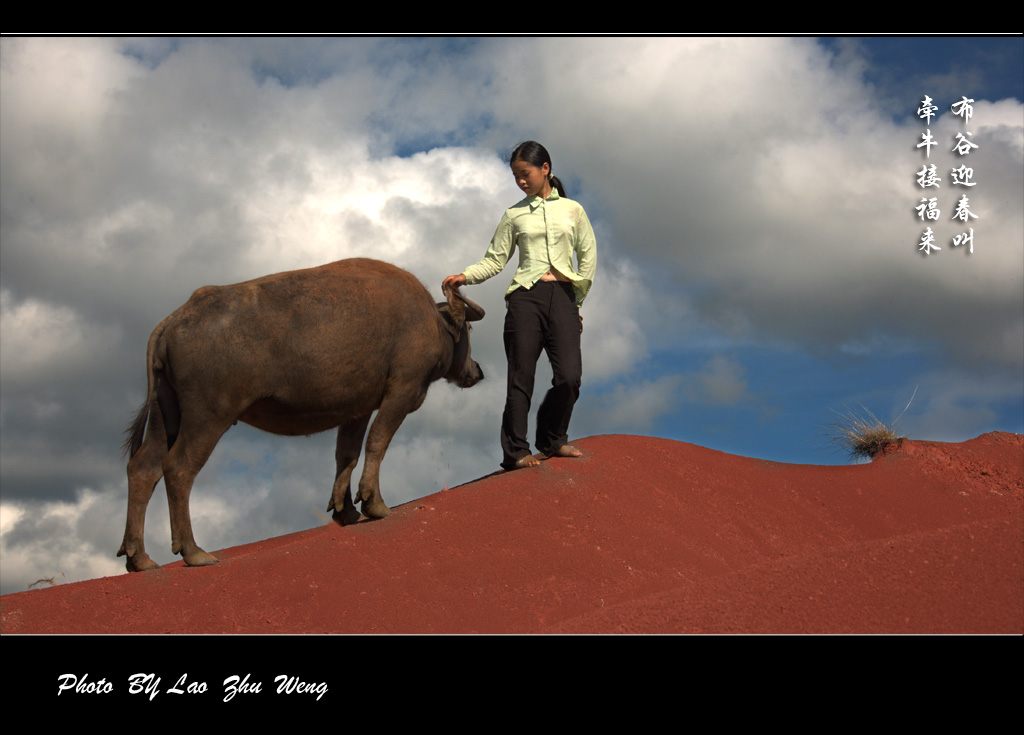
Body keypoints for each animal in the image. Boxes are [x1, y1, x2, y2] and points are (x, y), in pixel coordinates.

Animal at [117, 258, 485, 577]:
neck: (430, 322)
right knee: (179, 469)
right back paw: (194, 552)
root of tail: (177, 318)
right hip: (207, 419)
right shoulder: (400, 393)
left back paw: (140, 558)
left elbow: (346, 456)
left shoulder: (357, 410)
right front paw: (374, 504)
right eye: (468, 328)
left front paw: (345, 511)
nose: (476, 370)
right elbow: (377, 444)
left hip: (165, 416)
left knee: (143, 469)